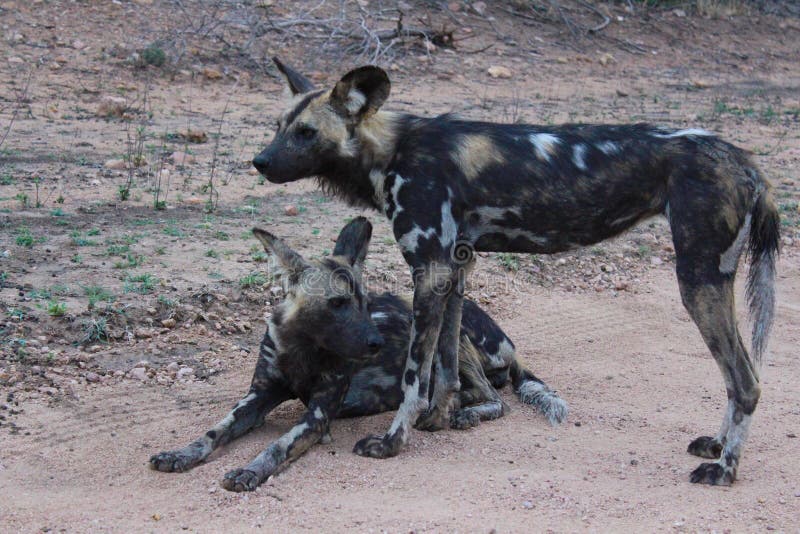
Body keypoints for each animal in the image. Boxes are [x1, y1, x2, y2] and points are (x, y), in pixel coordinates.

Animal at [148, 218, 564, 494]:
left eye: (365, 304)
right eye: (337, 304)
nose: (376, 343)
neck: (304, 348)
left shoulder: (317, 416)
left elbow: (277, 444)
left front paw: (250, 470)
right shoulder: (256, 398)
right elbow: (213, 431)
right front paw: (181, 454)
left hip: (446, 332)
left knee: (490, 398)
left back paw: (460, 412)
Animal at [252, 56, 780, 488]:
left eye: (306, 132)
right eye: (278, 125)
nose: (259, 161)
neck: (392, 152)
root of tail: (747, 161)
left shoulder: (429, 270)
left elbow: (414, 376)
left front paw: (393, 441)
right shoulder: (454, 268)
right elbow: (446, 369)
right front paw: (439, 421)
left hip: (697, 280)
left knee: (746, 380)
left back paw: (725, 469)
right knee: (740, 377)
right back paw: (716, 446)